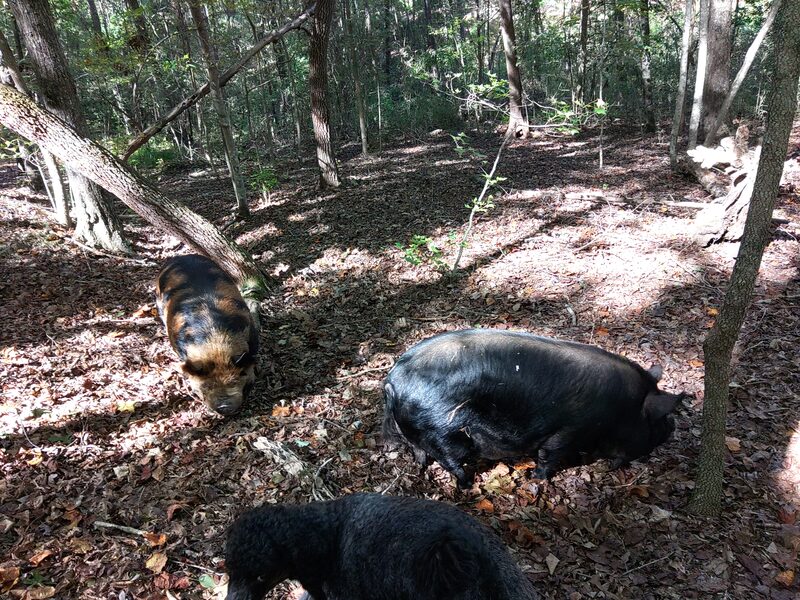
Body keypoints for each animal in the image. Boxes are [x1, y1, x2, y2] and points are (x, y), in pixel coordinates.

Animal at [382, 329, 686, 488]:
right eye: (660, 418)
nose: (672, 428)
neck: (621, 411)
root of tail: (392, 380)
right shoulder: (568, 430)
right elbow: (549, 455)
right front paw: (537, 479)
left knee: (420, 452)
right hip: (443, 431)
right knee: (449, 460)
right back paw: (468, 484)